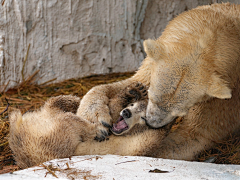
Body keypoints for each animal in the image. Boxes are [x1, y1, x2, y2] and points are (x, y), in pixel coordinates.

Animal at [77, 2, 240, 160]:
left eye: (180, 111)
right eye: (152, 96)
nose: (151, 123)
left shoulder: (226, 96)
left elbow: (194, 135)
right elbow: (133, 81)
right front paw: (97, 119)